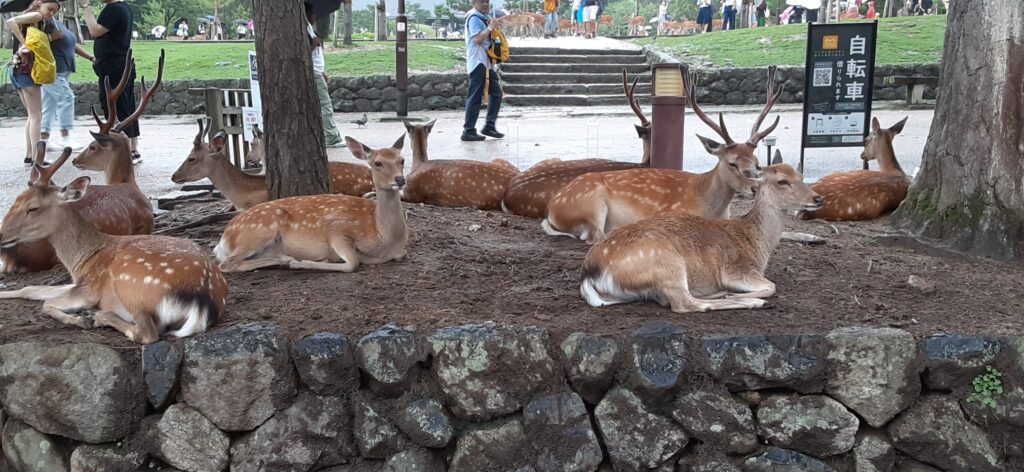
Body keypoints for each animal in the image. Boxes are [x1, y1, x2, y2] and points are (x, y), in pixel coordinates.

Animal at [0, 149, 226, 344]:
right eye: (16, 200)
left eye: (33, 208)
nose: (1, 234)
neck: (81, 260)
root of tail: (201, 302)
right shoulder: (78, 283)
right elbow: (32, 289)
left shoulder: (88, 290)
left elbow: (45, 304)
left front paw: (79, 319)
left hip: (130, 285)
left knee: (146, 333)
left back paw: (98, 316)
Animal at [212, 134, 407, 272]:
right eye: (378, 163)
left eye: (402, 160)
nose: (400, 179)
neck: (385, 239)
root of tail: (223, 239)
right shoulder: (336, 229)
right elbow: (353, 263)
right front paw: (305, 262)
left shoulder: (399, 251)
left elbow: (397, 255)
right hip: (257, 232)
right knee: (226, 265)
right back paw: (288, 261)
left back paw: (284, 259)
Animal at [581, 151, 827, 313]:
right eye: (782, 181)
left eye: (801, 176)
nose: (818, 198)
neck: (758, 244)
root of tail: (589, 272)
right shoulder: (736, 269)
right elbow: (771, 286)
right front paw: (742, 294)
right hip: (666, 262)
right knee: (684, 303)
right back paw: (750, 301)